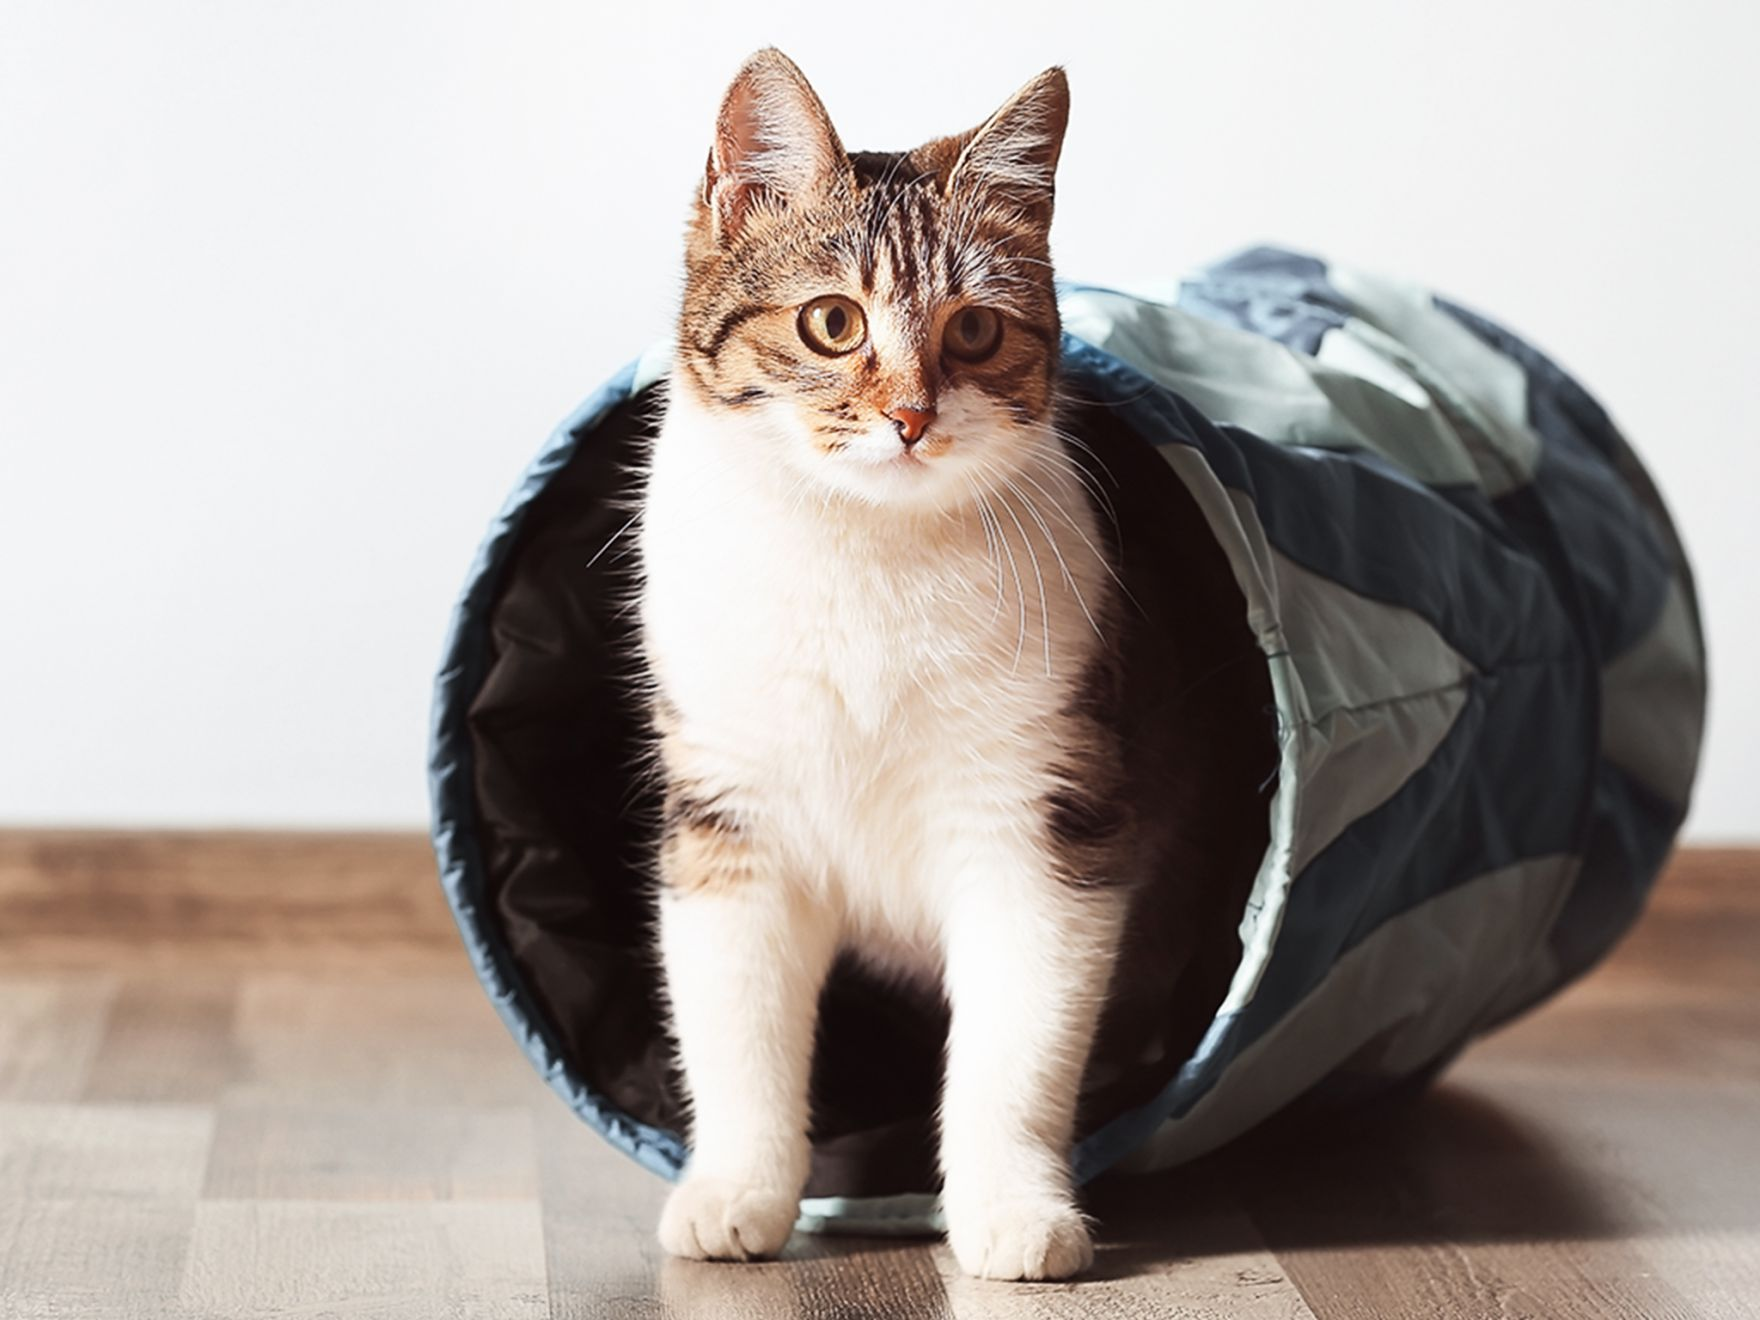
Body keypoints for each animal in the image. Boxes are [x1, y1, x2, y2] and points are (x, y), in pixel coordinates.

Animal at [637, 49, 1126, 1281]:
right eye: (830, 322)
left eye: (975, 333)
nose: (909, 417)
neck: (862, 551)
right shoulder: (728, 818)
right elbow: (735, 1025)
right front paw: (735, 1191)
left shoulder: (1039, 820)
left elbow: (1016, 1045)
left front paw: (1012, 1210)